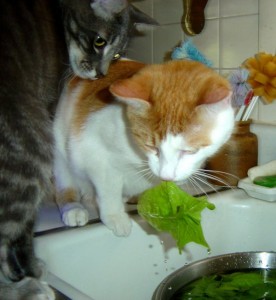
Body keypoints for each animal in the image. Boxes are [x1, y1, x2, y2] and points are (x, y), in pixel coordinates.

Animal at [54, 59, 235, 237]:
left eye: (189, 151)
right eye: (151, 146)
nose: (166, 176)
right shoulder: (94, 150)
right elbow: (108, 188)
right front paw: (114, 215)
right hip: (60, 150)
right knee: (66, 183)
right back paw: (73, 208)